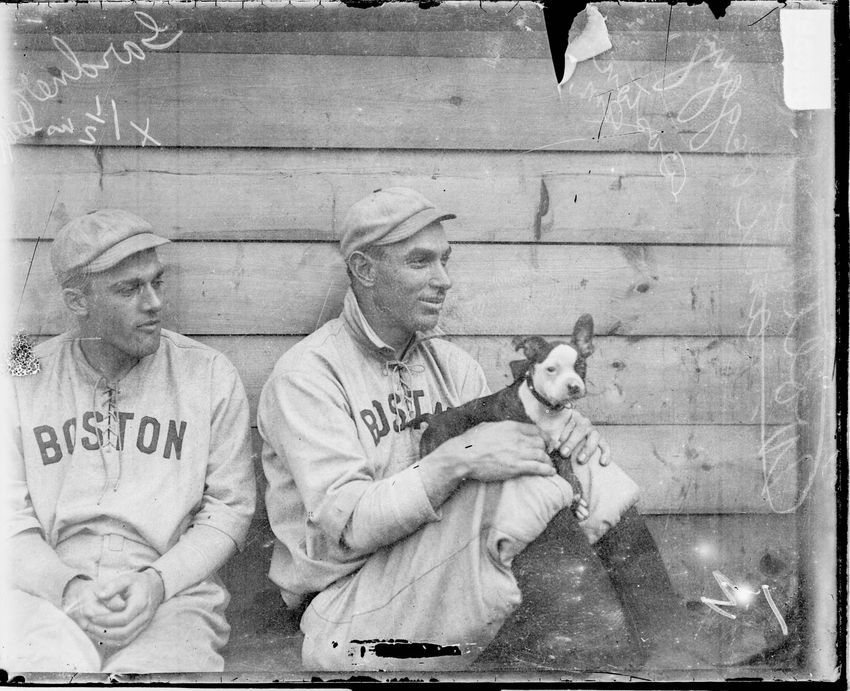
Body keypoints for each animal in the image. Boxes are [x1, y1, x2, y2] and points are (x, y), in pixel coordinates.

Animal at [414, 316, 592, 516]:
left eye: (581, 366)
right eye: (551, 369)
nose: (573, 386)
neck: (548, 410)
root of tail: (433, 418)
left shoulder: (560, 445)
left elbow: (567, 467)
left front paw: (577, 495)